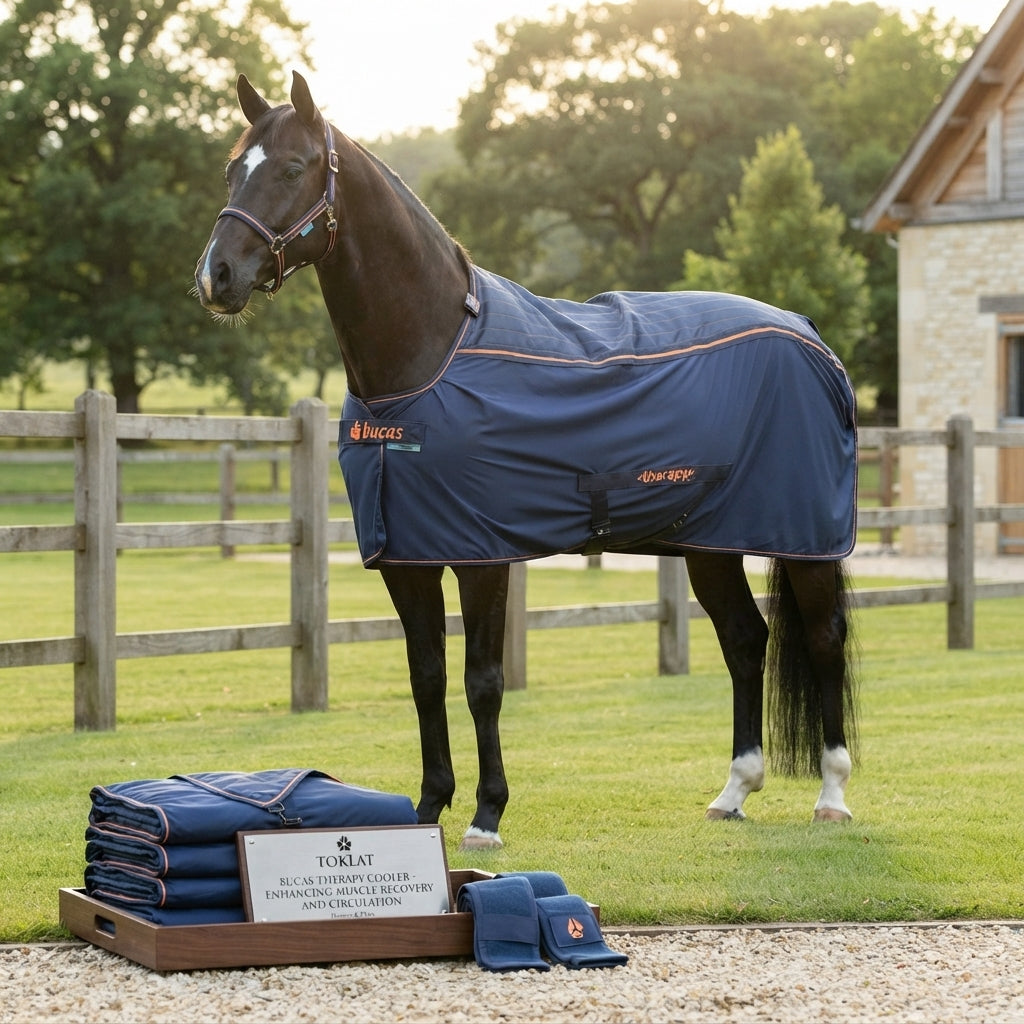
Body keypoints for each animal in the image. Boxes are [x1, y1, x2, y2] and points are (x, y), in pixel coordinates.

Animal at [195, 72, 860, 850]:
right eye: (231, 169)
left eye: (293, 168)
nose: (217, 276)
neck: (429, 356)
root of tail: (809, 333)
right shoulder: (407, 559)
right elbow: (427, 677)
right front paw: (427, 811)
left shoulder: (481, 557)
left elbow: (482, 681)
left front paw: (486, 817)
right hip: (710, 544)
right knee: (745, 641)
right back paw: (733, 791)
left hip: (805, 541)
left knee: (823, 638)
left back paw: (832, 795)